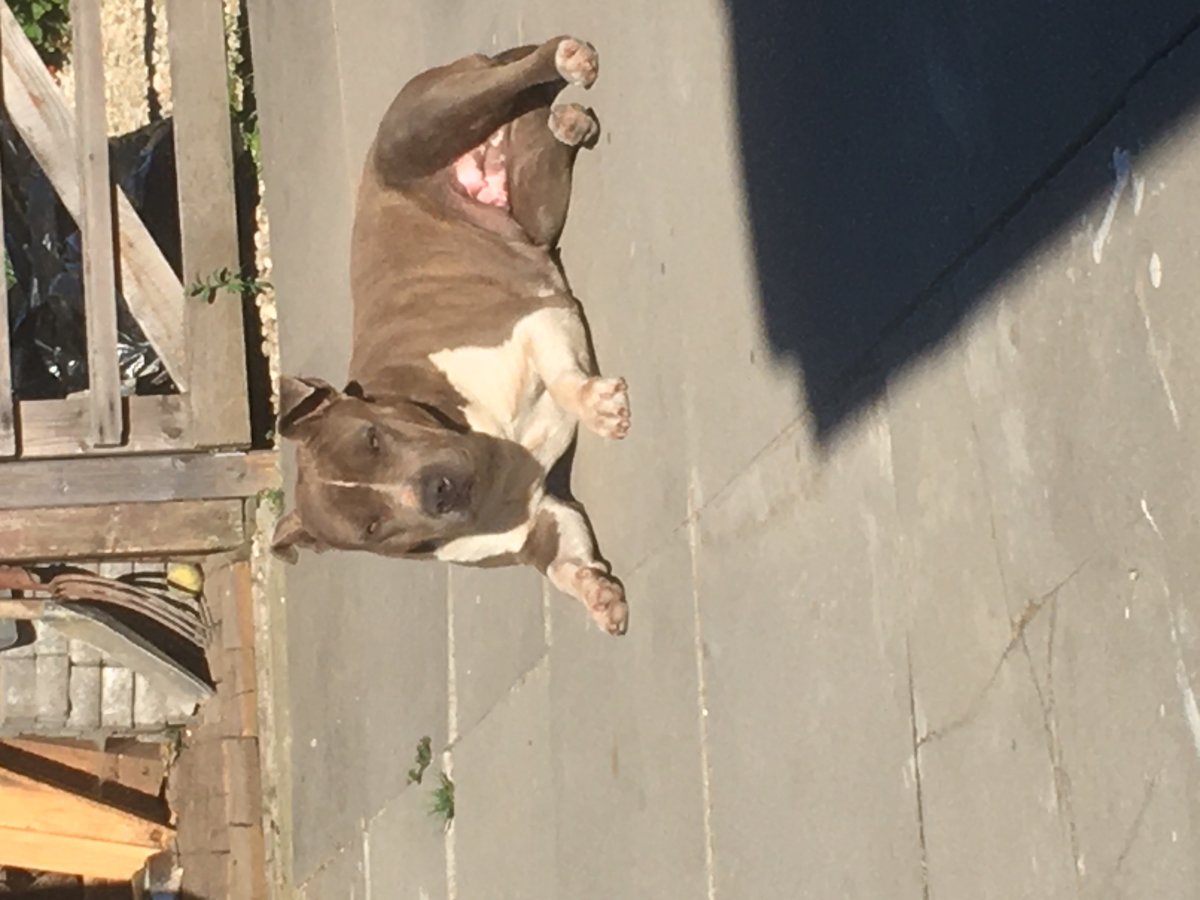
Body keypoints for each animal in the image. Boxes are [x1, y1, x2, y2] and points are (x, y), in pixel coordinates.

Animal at [272, 37, 631, 635]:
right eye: (371, 528)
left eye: (372, 437)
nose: (437, 491)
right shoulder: (541, 524)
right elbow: (566, 565)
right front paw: (597, 594)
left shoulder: (535, 320)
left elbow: (563, 379)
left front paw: (598, 407)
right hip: (535, 204)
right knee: (538, 131)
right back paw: (568, 122)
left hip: (424, 127)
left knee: (516, 76)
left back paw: (565, 60)